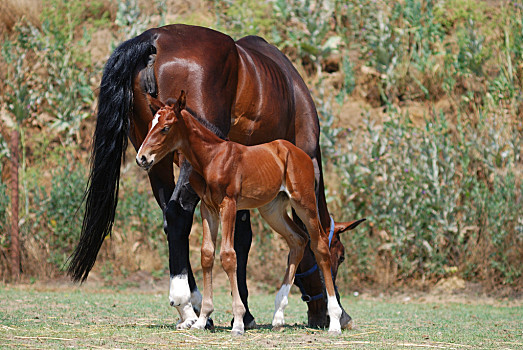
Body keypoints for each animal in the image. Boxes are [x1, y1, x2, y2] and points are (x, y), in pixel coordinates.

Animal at [136, 91, 344, 334]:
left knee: (319, 245)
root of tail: (297, 153)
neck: (212, 157)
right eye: (149, 125)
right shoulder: (208, 208)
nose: (142, 158)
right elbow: (207, 255)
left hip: (304, 202)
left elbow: (228, 255)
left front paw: (238, 321)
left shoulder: (229, 204)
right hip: (272, 209)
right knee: (298, 240)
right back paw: (278, 315)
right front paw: (202, 319)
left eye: (166, 128)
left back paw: (335, 321)